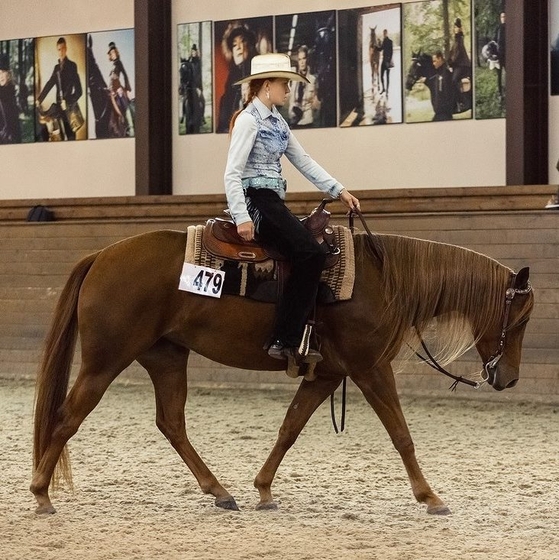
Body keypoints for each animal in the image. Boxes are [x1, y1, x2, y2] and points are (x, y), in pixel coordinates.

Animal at [29, 229, 532, 516]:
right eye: (523, 319)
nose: (508, 378)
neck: (381, 280)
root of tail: (101, 255)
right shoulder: (371, 369)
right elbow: (401, 434)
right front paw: (430, 498)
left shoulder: (326, 375)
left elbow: (289, 428)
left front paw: (264, 490)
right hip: (105, 361)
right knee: (67, 418)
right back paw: (41, 495)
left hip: (166, 356)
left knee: (171, 423)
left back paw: (220, 492)